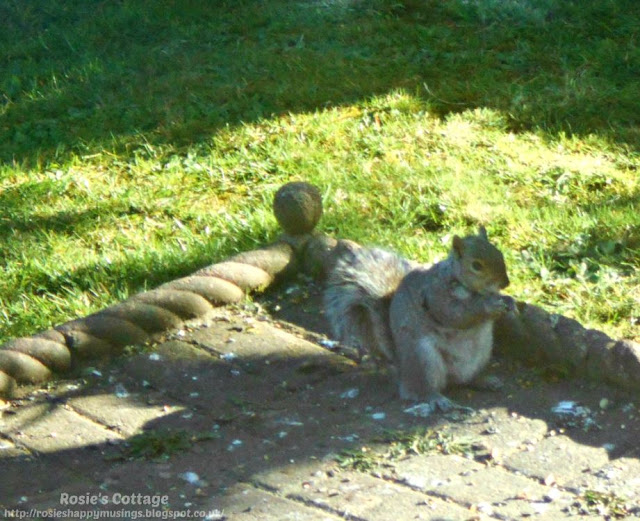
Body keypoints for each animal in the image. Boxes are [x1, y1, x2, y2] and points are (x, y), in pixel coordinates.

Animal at [324, 225, 516, 408]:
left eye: (499, 253)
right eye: (476, 265)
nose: (506, 283)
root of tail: (402, 370)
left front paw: (510, 302)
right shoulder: (436, 295)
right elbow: (456, 314)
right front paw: (489, 305)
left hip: (483, 352)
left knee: (464, 380)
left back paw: (484, 380)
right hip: (423, 358)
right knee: (419, 390)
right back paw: (436, 398)